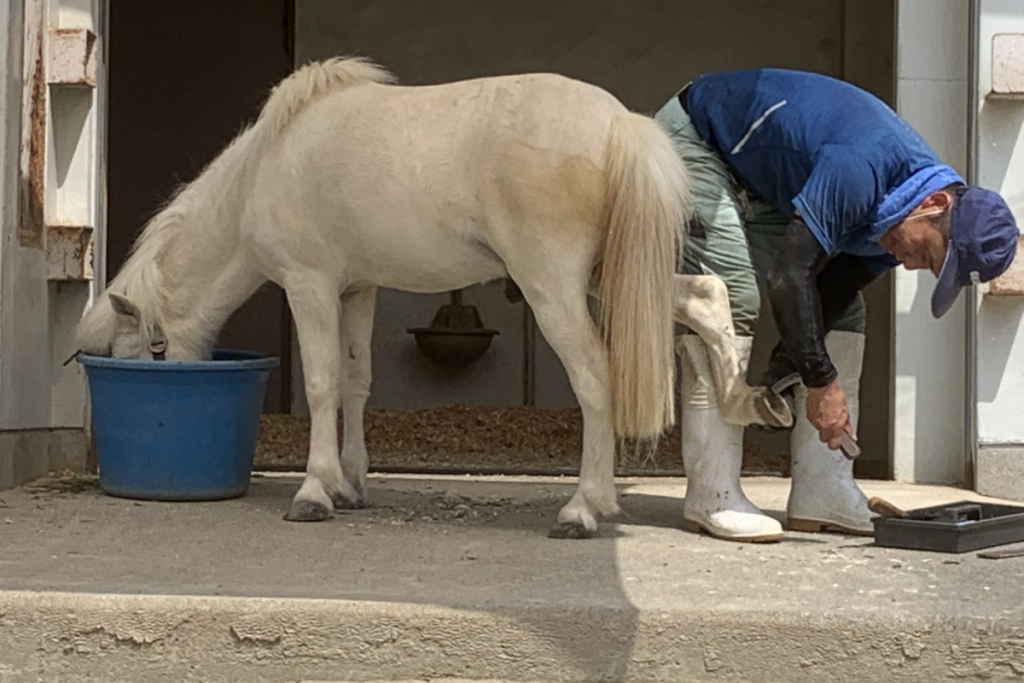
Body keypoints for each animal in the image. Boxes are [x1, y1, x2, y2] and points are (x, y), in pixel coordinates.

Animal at [77, 57, 790, 540]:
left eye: (146, 352)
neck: (268, 165)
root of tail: (620, 125)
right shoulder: (357, 287)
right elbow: (356, 382)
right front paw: (351, 484)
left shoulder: (310, 284)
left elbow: (321, 383)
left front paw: (313, 493)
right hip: (618, 275)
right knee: (707, 299)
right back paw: (743, 400)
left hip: (555, 288)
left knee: (595, 378)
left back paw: (583, 509)